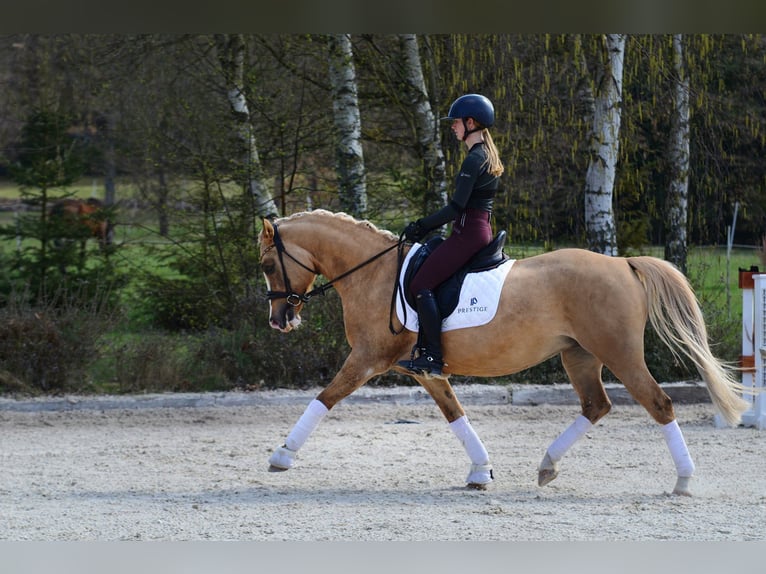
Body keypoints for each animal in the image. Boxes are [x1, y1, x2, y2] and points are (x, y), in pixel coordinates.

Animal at [258, 209, 749, 496]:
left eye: (267, 264)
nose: (280, 320)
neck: (375, 273)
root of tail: (623, 264)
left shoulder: (366, 359)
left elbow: (325, 398)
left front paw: (282, 455)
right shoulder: (424, 370)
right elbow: (455, 414)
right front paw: (481, 471)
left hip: (620, 354)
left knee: (658, 403)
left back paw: (684, 480)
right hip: (580, 355)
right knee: (596, 405)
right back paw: (547, 466)